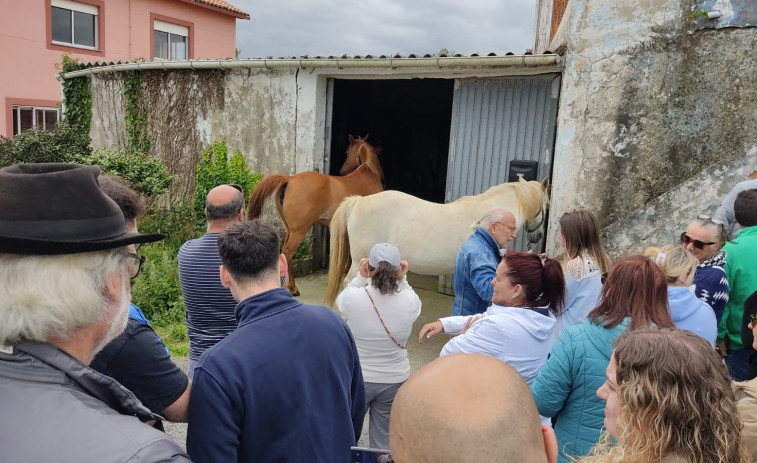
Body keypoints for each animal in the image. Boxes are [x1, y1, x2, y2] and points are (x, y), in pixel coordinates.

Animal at [248, 135, 384, 298]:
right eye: (346, 151)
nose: (342, 170)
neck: (367, 175)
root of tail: (289, 179)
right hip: (299, 231)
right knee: (287, 253)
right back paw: (293, 287)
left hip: (290, 229)